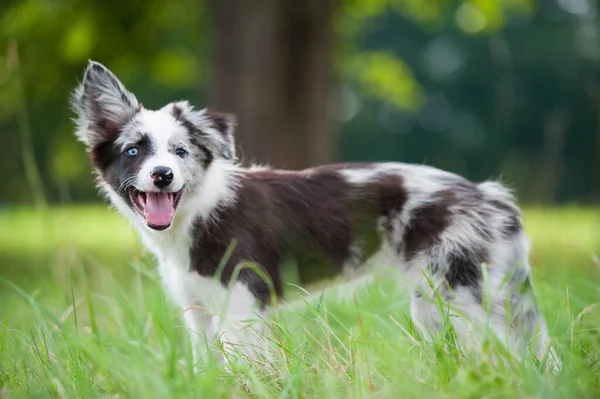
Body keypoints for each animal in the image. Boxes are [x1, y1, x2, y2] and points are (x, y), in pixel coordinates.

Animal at [72, 61, 560, 372]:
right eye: (133, 151)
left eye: (180, 151)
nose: (162, 175)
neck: (197, 213)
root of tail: (491, 195)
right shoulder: (200, 311)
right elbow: (208, 368)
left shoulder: (241, 306)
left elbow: (246, 368)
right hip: (437, 305)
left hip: (465, 294)